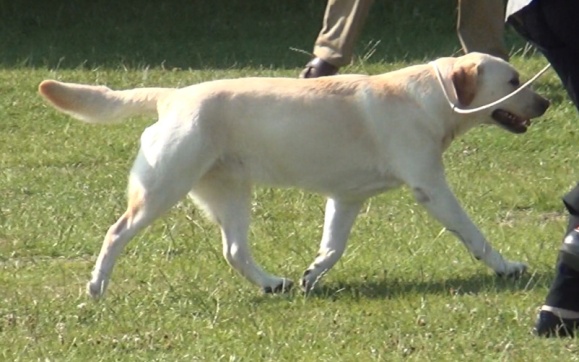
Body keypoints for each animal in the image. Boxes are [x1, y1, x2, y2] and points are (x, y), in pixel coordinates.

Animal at [39, 52, 548, 298]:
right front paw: (507, 267)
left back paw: (273, 284)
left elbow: (333, 246)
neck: (431, 96)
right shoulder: (432, 186)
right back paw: (97, 287)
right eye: (513, 80)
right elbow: (474, 234)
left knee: (234, 251)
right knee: (116, 233)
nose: (545, 102)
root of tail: (172, 96)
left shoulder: (346, 199)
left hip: (231, 194)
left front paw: (312, 275)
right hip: (163, 189)